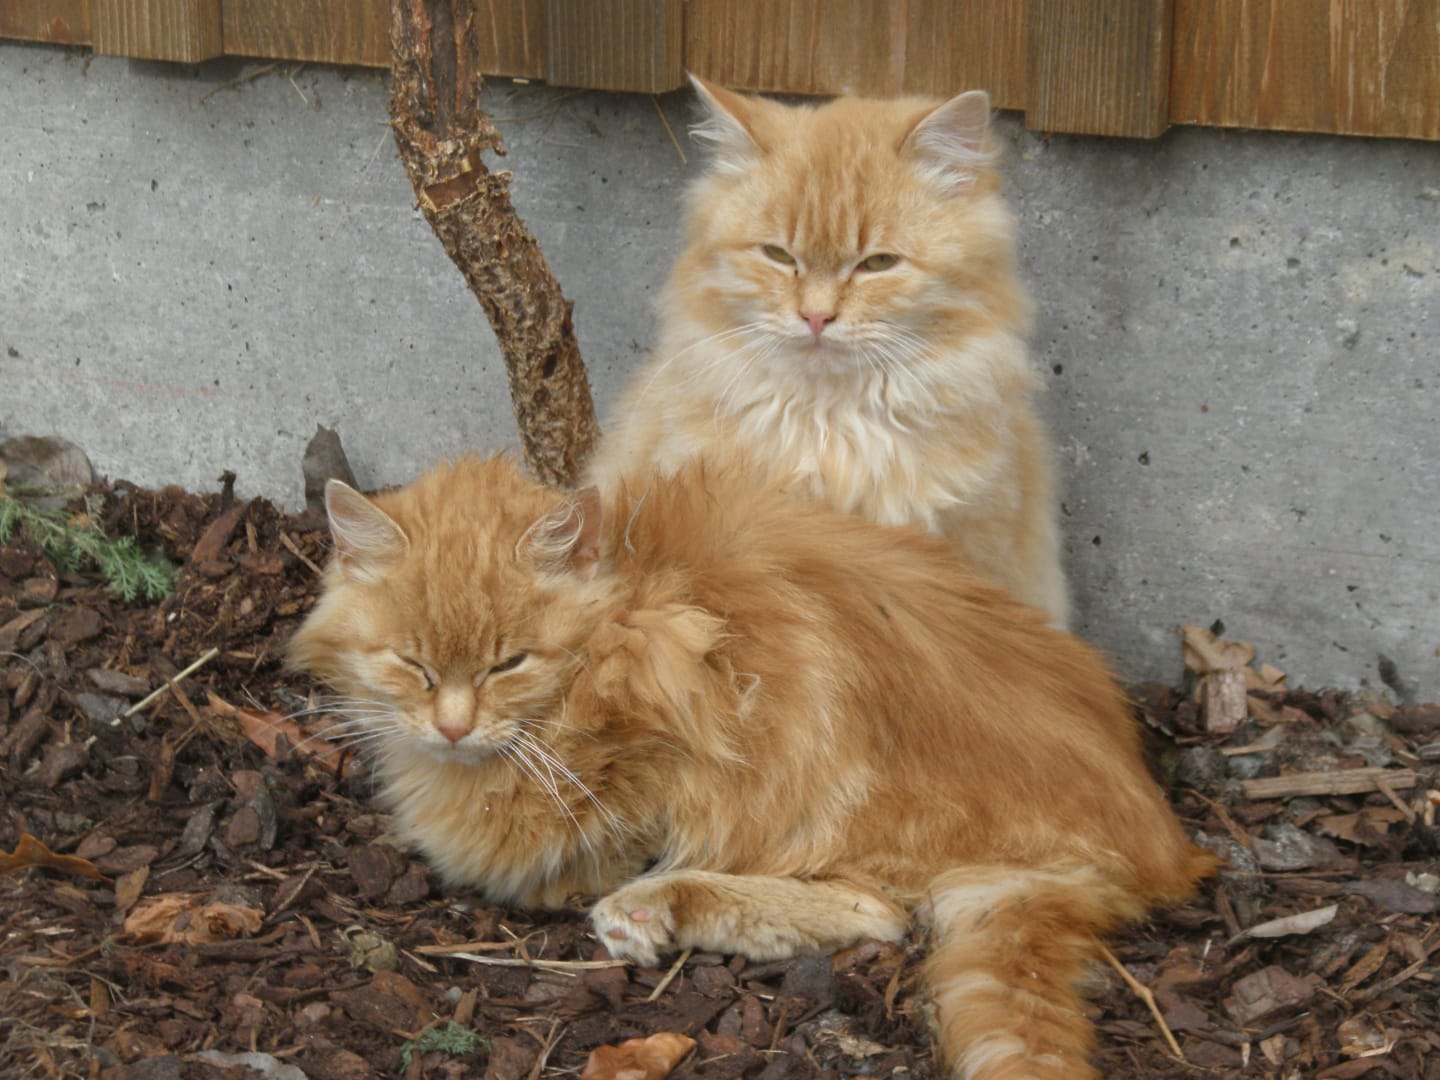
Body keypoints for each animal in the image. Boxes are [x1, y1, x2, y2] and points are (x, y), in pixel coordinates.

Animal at [288, 454, 1213, 1080]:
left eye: (507, 663)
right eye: (411, 664)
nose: (451, 727)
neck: (621, 616)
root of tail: (1159, 844)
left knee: (873, 914)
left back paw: (652, 908)